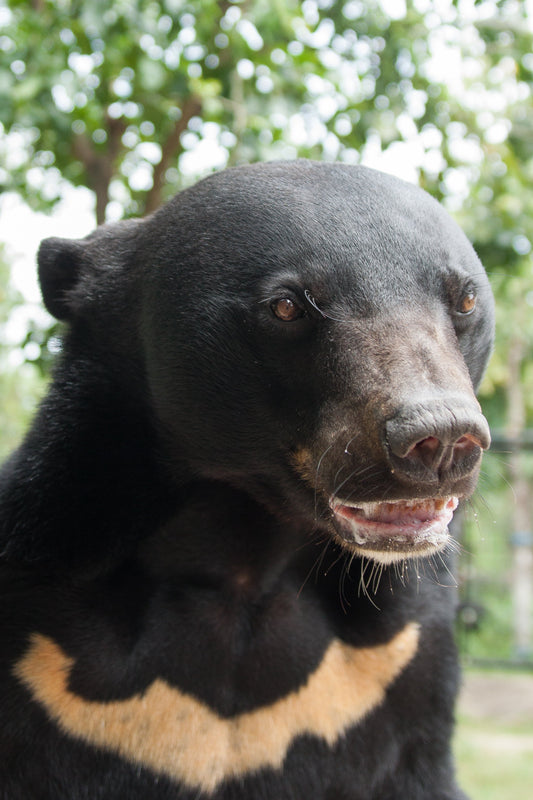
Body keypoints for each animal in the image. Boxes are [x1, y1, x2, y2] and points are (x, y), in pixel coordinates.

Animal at [0, 161, 494, 799]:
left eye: (465, 299)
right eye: (287, 306)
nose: (440, 437)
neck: (246, 561)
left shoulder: (403, 661)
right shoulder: (39, 636)